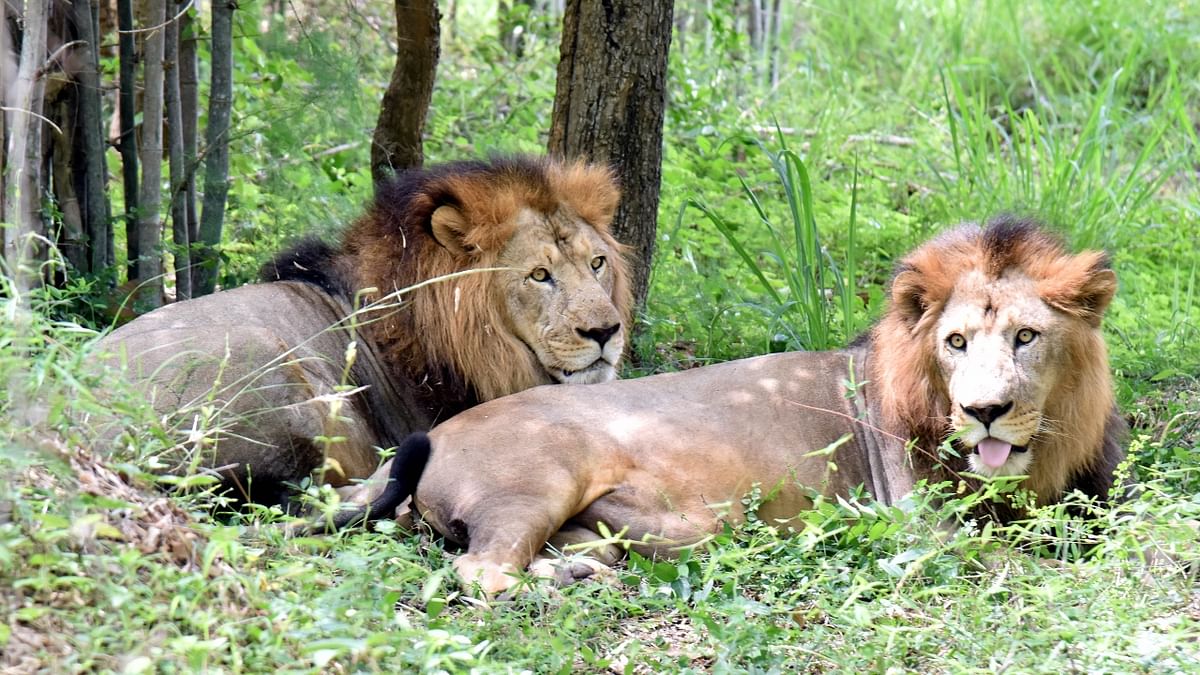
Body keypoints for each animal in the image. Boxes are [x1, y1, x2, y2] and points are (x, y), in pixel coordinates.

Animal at [340, 216, 1123, 593]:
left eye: (1026, 336)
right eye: (955, 342)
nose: (985, 410)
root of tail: (431, 436)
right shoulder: (924, 528)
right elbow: (1027, 563)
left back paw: (581, 574)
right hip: (538, 480)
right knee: (480, 572)